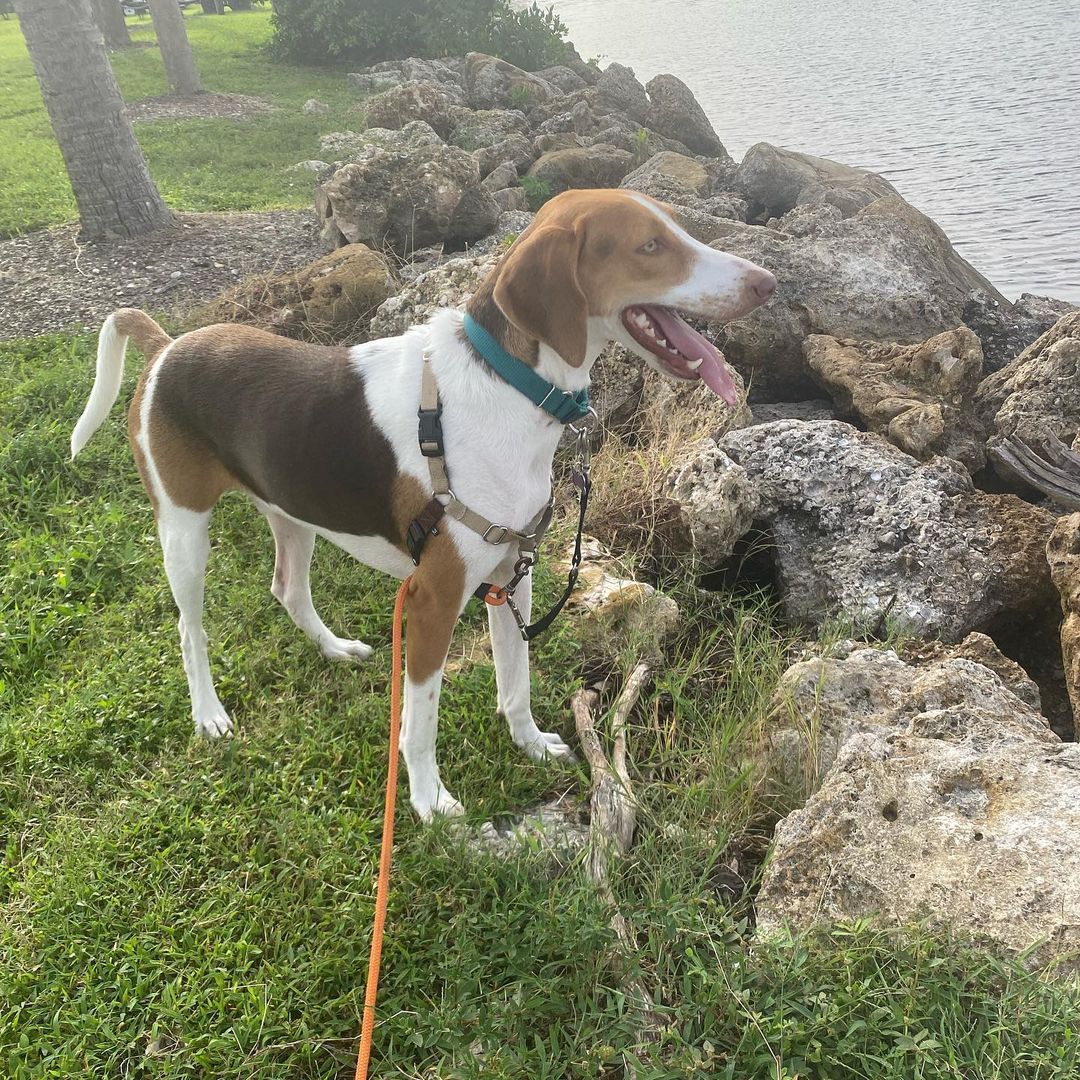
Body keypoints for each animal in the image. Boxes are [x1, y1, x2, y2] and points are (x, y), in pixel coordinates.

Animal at [69, 187, 777, 816]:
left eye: (675, 228)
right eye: (650, 245)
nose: (768, 284)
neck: (507, 387)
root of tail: (167, 346)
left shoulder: (510, 576)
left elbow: (516, 683)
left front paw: (529, 746)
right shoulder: (433, 601)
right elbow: (420, 722)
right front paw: (427, 800)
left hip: (291, 510)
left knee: (287, 589)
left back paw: (334, 649)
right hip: (184, 531)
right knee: (190, 630)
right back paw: (209, 713)